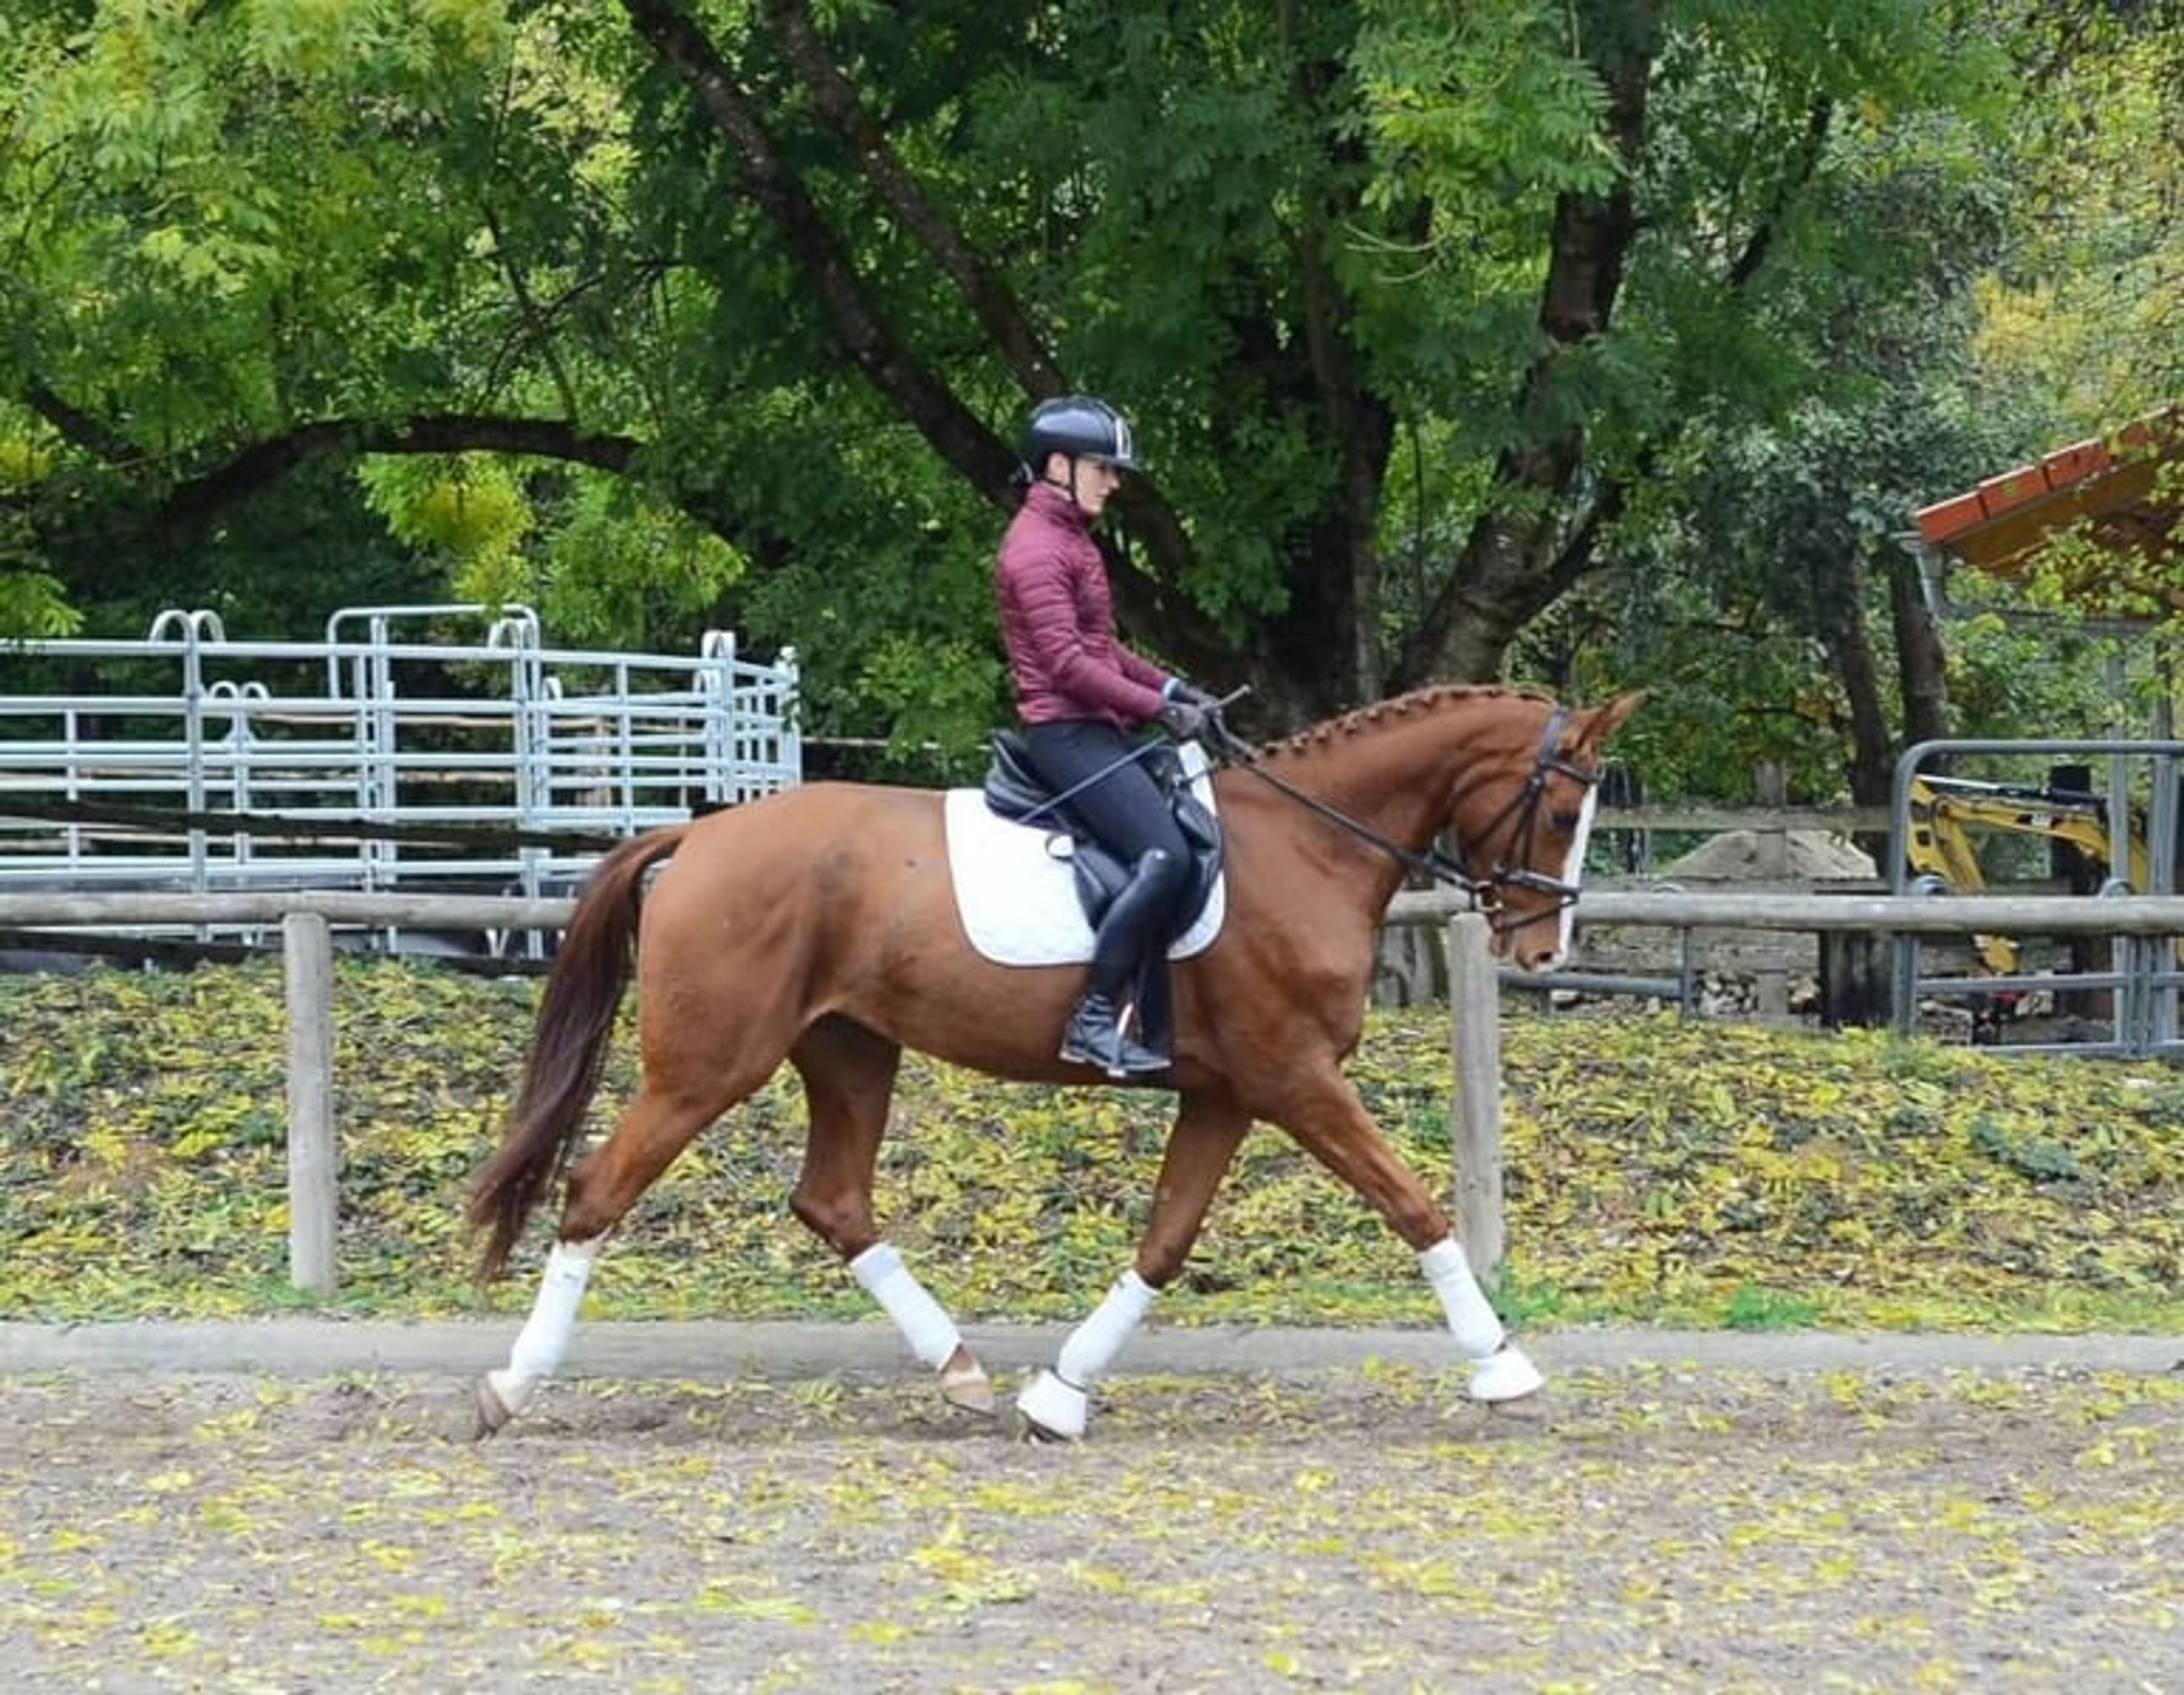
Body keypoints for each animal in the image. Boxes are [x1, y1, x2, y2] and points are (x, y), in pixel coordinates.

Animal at [467, 683, 1642, 1440]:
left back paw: (961, 1373)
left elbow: (1165, 1241)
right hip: (708, 1067)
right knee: (596, 1190)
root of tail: (698, 838)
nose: (1546, 952)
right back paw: (513, 1385)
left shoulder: (1228, 1094)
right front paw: (1506, 1365)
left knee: (833, 1200)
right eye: (1565, 807)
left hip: (850, 1052)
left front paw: (1061, 1395)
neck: (1307, 846)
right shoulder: (1296, 1079)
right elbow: (1414, 1204)